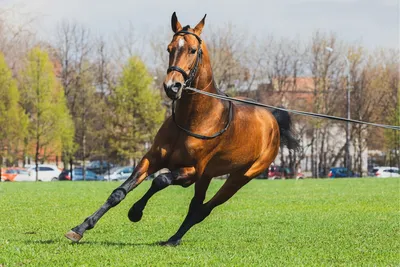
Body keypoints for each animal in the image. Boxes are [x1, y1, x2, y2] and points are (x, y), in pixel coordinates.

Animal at [65, 12, 296, 247]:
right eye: (169, 48)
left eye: (193, 50)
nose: (172, 86)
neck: (193, 118)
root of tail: (272, 118)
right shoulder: (153, 158)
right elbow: (119, 192)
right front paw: (80, 228)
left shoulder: (192, 171)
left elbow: (160, 180)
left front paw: (136, 211)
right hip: (209, 177)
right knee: (197, 205)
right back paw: (174, 237)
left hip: (240, 177)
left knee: (203, 209)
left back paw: (174, 238)